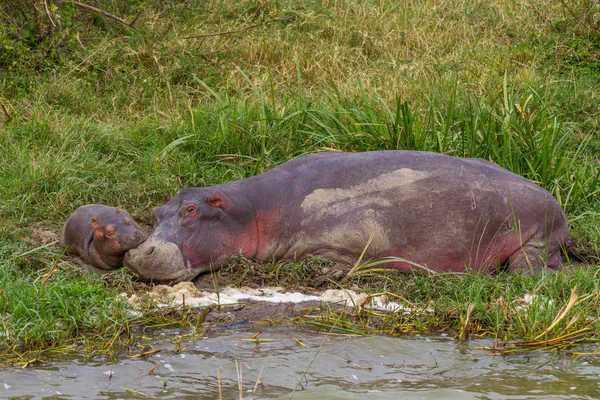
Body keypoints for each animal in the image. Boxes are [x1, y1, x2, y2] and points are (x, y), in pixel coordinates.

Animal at [124, 149, 568, 282]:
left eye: (192, 210)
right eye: (157, 210)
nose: (140, 252)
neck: (253, 209)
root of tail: (556, 202)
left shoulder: (350, 235)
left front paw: (329, 272)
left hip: (535, 234)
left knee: (529, 263)